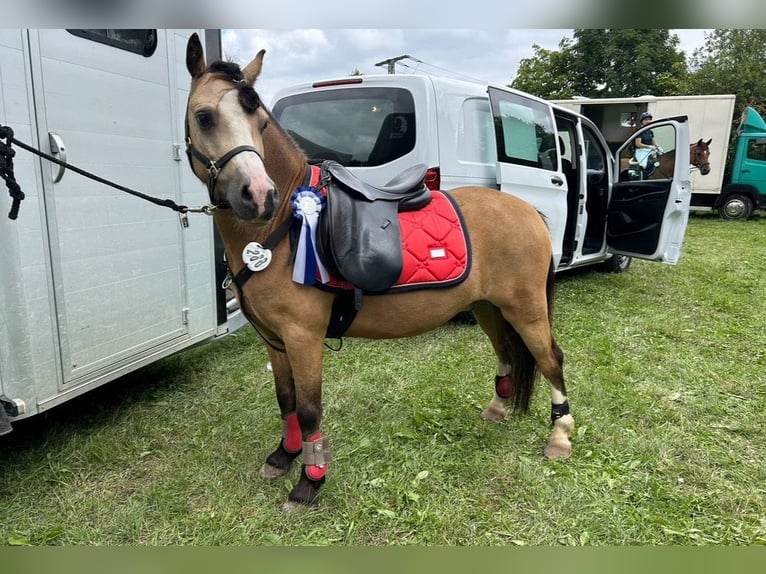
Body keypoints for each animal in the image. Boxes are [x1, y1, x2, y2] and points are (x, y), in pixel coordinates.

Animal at [183, 33, 573, 511]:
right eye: (204, 116)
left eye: (258, 119)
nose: (258, 195)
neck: (284, 226)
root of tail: (528, 210)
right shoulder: (274, 340)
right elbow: (286, 399)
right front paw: (283, 457)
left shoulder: (302, 336)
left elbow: (309, 408)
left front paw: (309, 482)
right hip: (488, 308)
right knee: (506, 353)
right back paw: (497, 410)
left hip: (527, 309)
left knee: (551, 358)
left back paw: (560, 436)